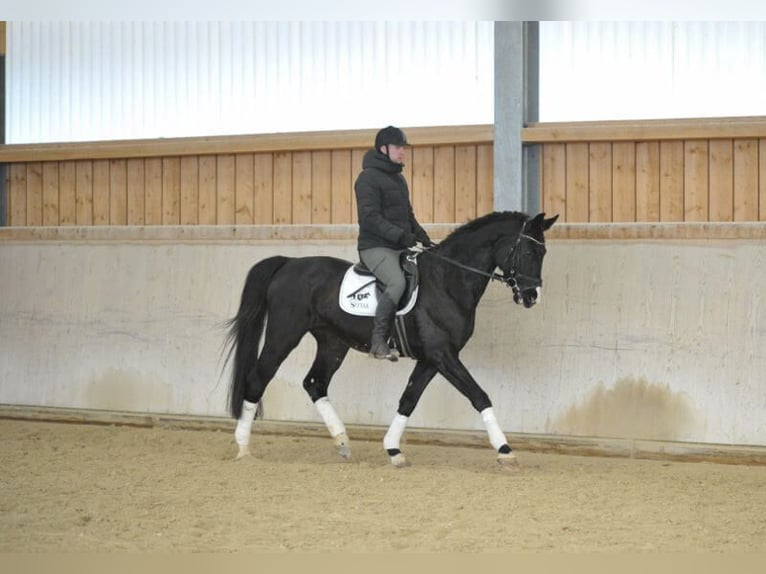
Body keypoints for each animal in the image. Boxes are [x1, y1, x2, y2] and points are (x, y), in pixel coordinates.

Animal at [226, 212, 560, 468]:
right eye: (528, 252)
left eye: (543, 254)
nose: (532, 296)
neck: (447, 280)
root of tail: (288, 263)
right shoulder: (443, 354)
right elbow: (479, 395)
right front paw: (505, 450)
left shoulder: (431, 358)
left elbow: (408, 399)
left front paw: (393, 449)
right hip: (284, 334)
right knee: (258, 379)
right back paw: (242, 447)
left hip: (333, 343)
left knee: (315, 383)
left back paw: (342, 441)